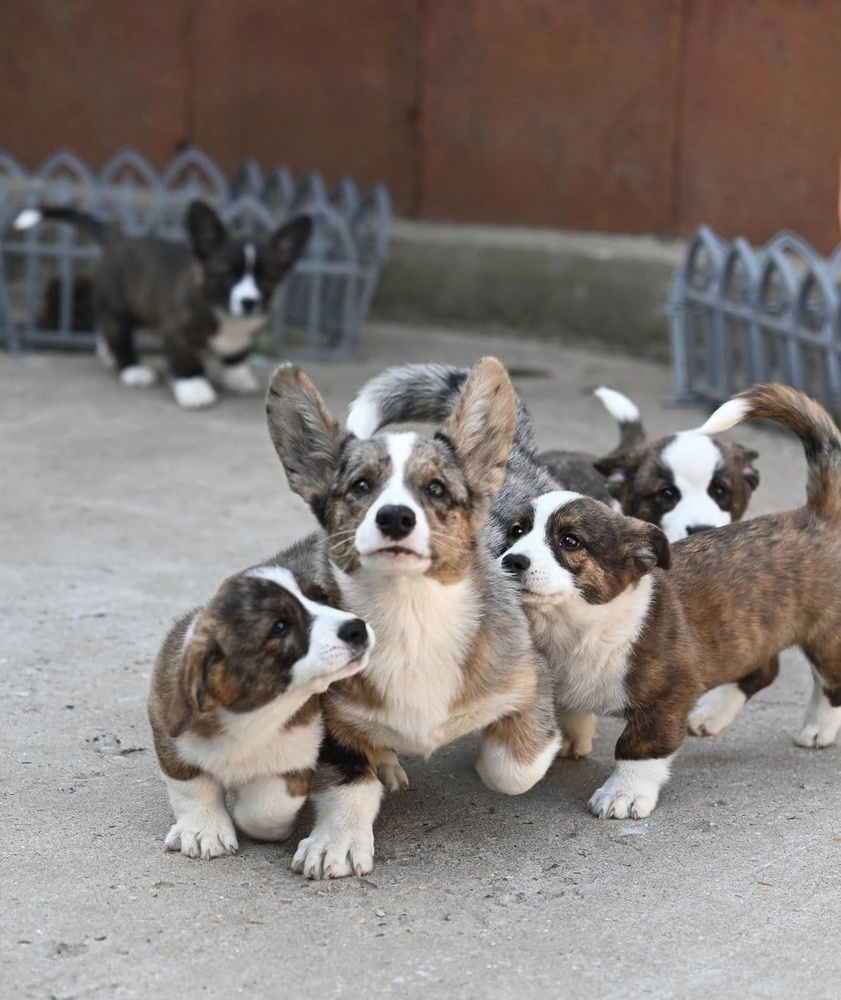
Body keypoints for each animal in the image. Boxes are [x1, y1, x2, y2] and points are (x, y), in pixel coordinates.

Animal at [148, 540, 374, 860]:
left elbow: (263, 808)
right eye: (280, 626)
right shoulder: (169, 738)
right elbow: (192, 787)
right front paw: (204, 829)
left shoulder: (296, 764)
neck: (254, 715)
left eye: (322, 599)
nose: (358, 628)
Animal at [266, 356, 560, 880]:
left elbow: (512, 769)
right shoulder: (327, 711)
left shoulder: (533, 678)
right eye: (361, 486)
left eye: (436, 489)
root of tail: (517, 454)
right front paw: (338, 840)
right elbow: (349, 777)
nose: (396, 518)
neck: (410, 615)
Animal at [498, 382, 840, 820]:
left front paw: (622, 795)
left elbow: (638, 747)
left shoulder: (666, 698)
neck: (578, 623)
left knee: (830, 682)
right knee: (763, 668)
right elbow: (571, 709)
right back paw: (712, 714)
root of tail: (817, 515)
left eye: (570, 541)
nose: (512, 561)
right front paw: (570, 738)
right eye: (516, 532)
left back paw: (818, 728)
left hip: (826, 635)